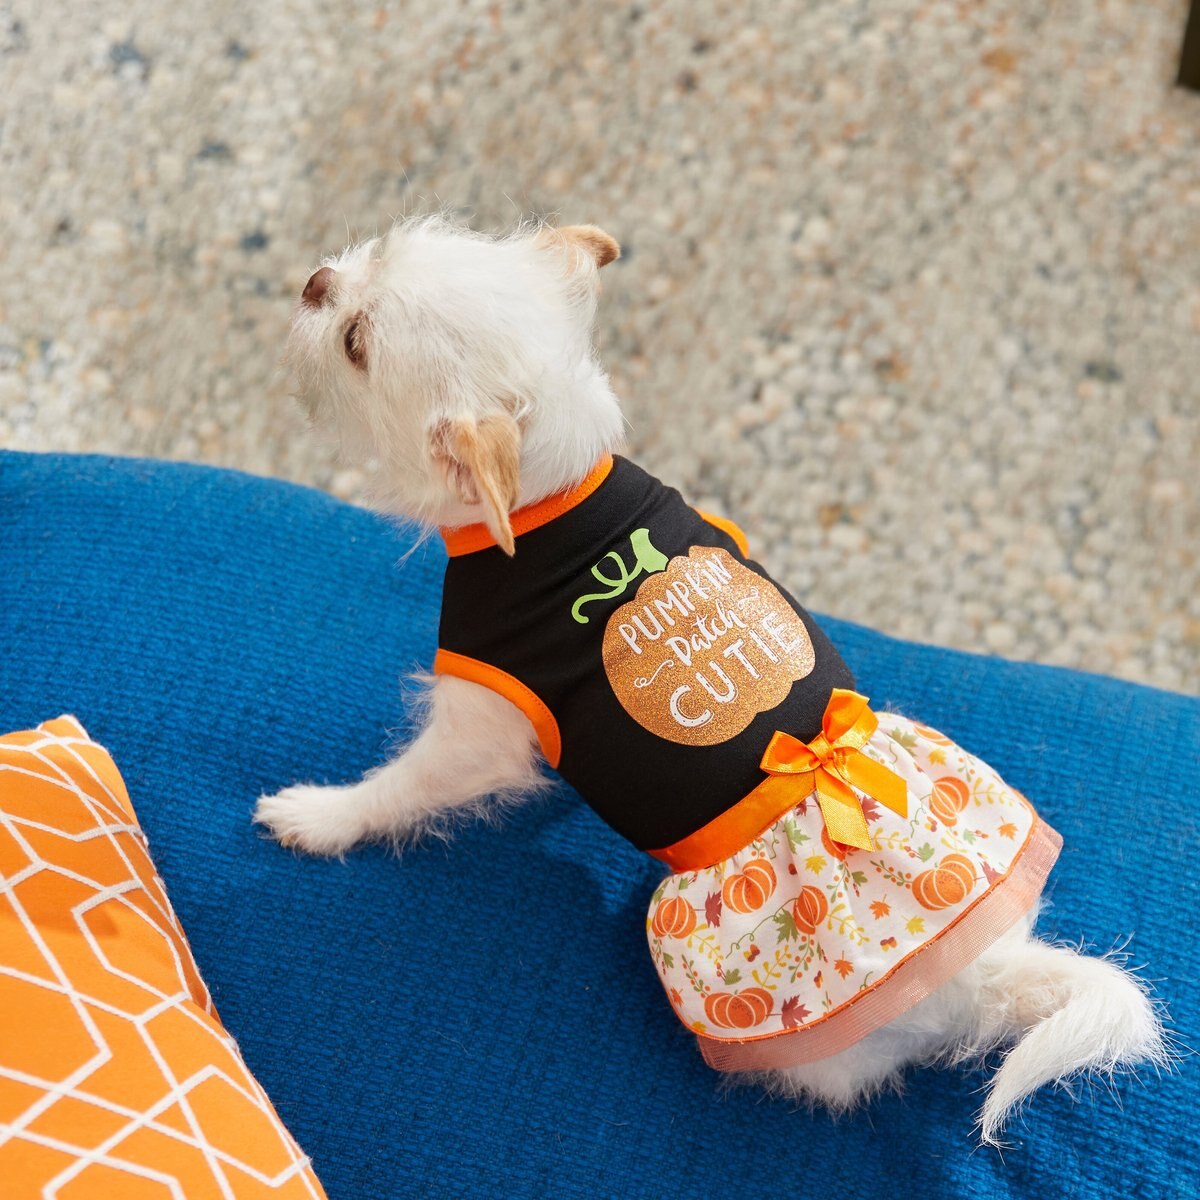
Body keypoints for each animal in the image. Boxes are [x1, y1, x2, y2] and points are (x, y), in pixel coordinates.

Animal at [258, 216, 1166, 1142]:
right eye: (373, 252)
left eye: (355, 342)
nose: (316, 280)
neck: (561, 489)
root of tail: (988, 978)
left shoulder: (478, 734)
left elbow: (402, 788)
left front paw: (321, 816)